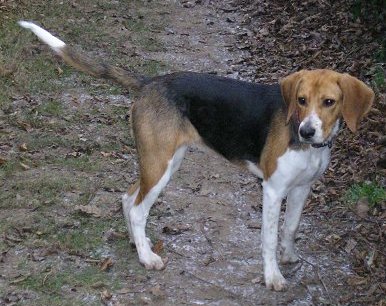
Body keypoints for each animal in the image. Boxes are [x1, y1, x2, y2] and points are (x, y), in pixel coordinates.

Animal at [18, 20, 374, 290]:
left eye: (329, 102)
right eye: (300, 100)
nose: (306, 132)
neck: (309, 147)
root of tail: (150, 82)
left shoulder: (301, 188)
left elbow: (291, 227)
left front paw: (289, 256)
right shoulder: (273, 190)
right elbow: (269, 238)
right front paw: (273, 276)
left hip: (164, 161)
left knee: (128, 198)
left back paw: (138, 243)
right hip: (160, 165)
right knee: (138, 208)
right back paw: (148, 257)